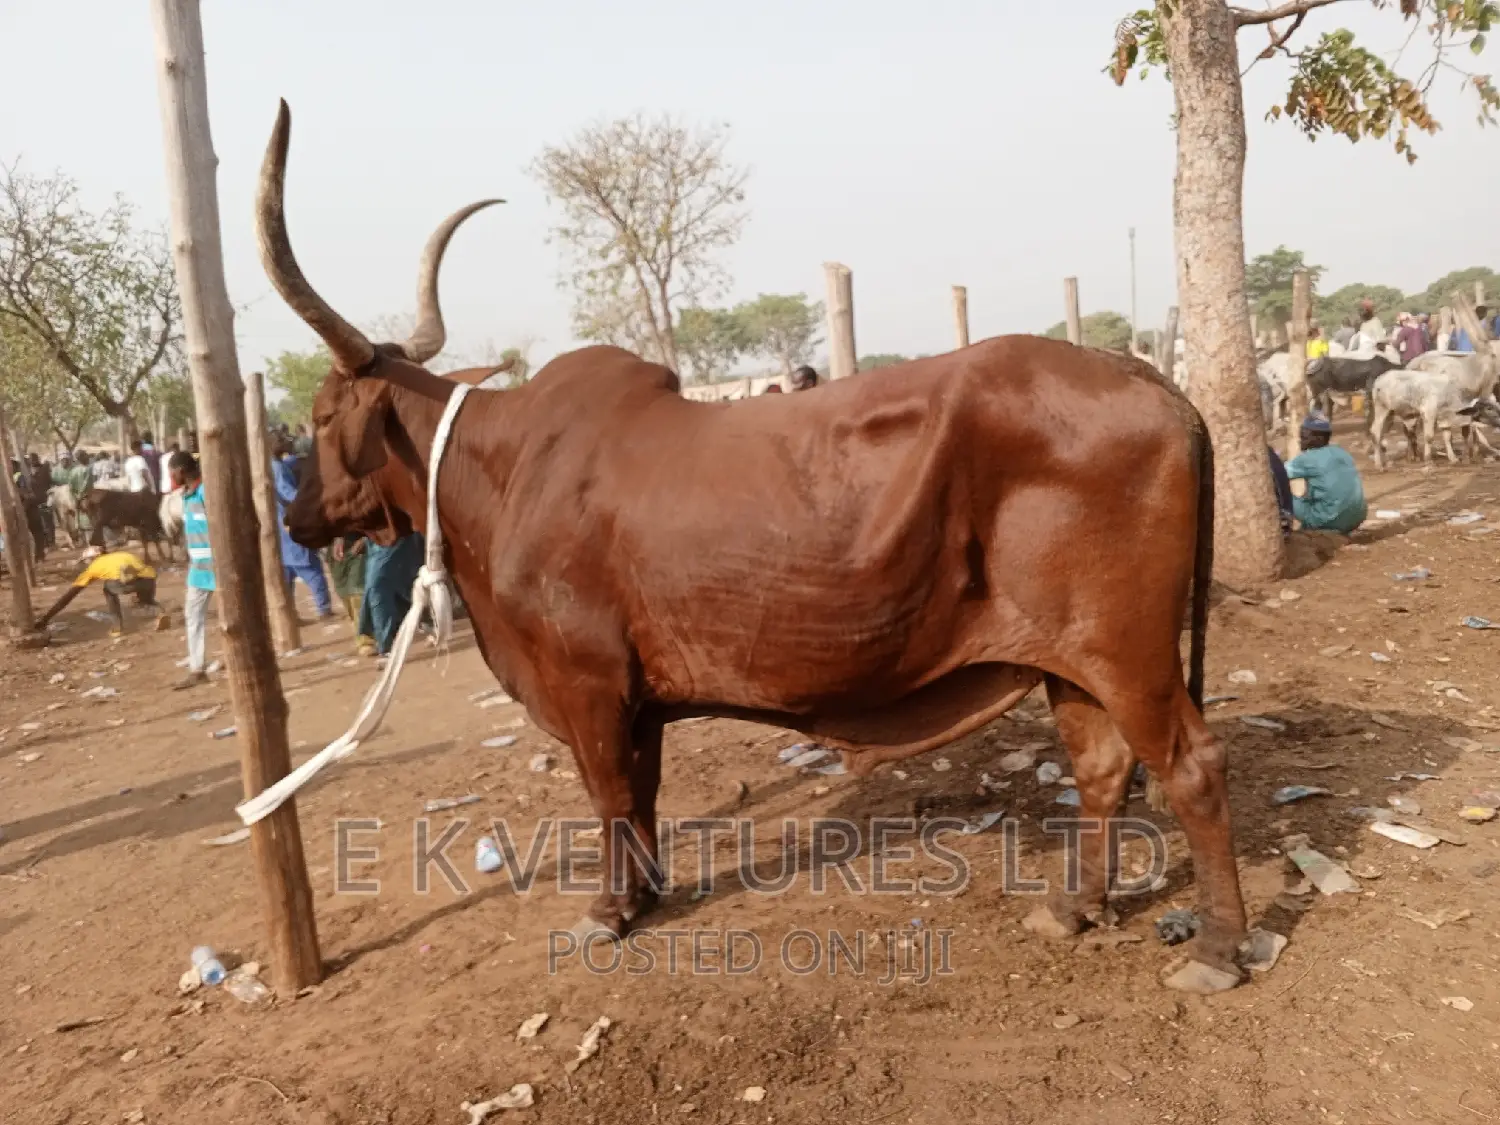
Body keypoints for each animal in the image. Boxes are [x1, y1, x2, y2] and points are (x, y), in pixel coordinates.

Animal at [256, 102, 1249, 994]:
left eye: (320, 416)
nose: (296, 519)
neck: (503, 469)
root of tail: (1148, 376)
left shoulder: (588, 684)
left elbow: (608, 794)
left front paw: (608, 912)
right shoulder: (637, 699)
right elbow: (642, 795)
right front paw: (647, 893)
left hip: (1128, 650)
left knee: (1191, 766)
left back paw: (1218, 947)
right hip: (1068, 659)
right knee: (1102, 766)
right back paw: (1075, 906)